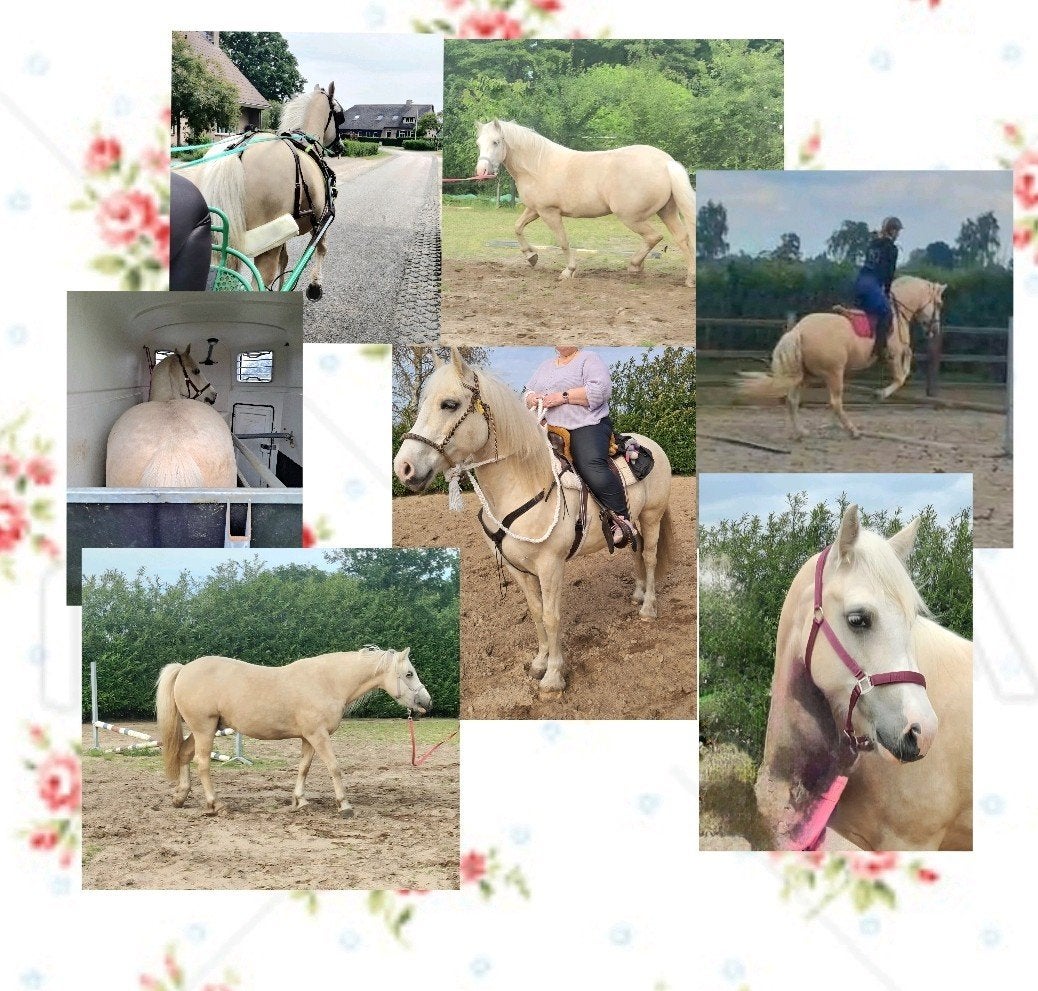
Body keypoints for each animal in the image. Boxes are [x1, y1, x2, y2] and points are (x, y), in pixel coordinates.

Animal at [157, 647, 432, 817]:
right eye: (409, 673)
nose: (427, 702)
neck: (328, 681)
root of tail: (184, 669)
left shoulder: (308, 738)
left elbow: (304, 768)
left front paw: (300, 801)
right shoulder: (319, 736)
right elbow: (334, 767)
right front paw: (344, 805)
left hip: (204, 729)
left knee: (184, 755)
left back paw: (180, 797)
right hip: (204, 729)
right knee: (202, 763)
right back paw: (216, 804)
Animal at [182, 84, 342, 298]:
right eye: (339, 115)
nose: (341, 146)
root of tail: (238, 149)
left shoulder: (287, 230)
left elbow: (285, 259)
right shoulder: (323, 217)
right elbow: (321, 247)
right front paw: (315, 286)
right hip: (267, 243)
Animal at [393, 349, 674, 692]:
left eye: (449, 404)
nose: (403, 468)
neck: (524, 483)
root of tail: (650, 446)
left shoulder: (550, 565)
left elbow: (553, 617)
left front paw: (553, 677)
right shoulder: (519, 569)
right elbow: (537, 613)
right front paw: (540, 663)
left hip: (652, 516)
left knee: (649, 557)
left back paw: (648, 607)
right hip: (633, 522)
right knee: (635, 551)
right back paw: (637, 595)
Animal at [474, 120, 696, 287]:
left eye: (496, 142)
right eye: (478, 143)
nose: (481, 171)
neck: (537, 165)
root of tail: (666, 162)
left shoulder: (549, 213)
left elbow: (563, 241)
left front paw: (568, 271)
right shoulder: (534, 210)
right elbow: (518, 228)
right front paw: (531, 257)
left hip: (631, 217)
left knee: (654, 237)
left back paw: (635, 266)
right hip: (666, 212)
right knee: (682, 238)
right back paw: (689, 278)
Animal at [736, 275, 946, 438]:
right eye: (939, 304)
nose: (935, 330)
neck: (896, 314)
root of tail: (798, 330)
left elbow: (907, 361)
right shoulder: (893, 355)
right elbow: (901, 377)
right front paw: (879, 394)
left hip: (806, 375)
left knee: (793, 401)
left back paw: (802, 432)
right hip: (833, 373)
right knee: (835, 402)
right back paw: (852, 431)